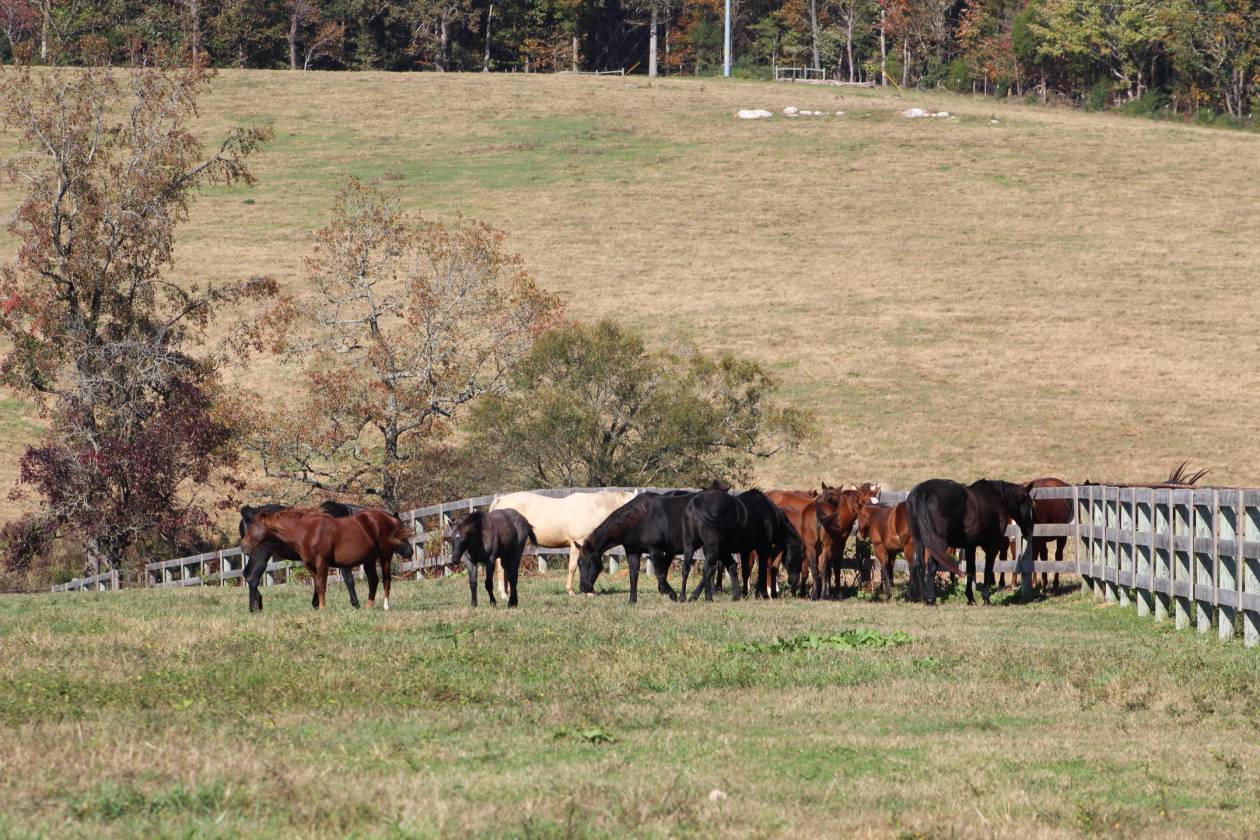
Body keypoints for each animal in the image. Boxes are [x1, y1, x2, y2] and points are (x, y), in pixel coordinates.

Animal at [239, 507, 414, 613]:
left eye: (253, 527)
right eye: (248, 527)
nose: (243, 546)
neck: (308, 532)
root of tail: (390, 519)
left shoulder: (322, 563)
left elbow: (322, 586)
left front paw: (322, 608)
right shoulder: (311, 565)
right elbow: (318, 585)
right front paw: (319, 607)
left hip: (385, 556)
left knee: (386, 580)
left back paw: (385, 606)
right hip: (369, 560)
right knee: (373, 580)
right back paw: (368, 607)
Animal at [489, 489, 637, 597]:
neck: (592, 510)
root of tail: (501, 499)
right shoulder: (578, 543)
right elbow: (573, 567)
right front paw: (573, 591)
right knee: (501, 567)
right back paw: (504, 594)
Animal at [906, 479, 1035, 606]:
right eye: (1029, 504)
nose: (1029, 529)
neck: (998, 497)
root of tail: (924, 492)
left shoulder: (970, 546)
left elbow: (971, 569)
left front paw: (970, 598)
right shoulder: (992, 546)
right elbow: (988, 569)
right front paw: (986, 598)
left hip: (918, 541)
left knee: (919, 565)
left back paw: (924, 598)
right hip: (938, 544)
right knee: (931, 565)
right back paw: (931, 599)